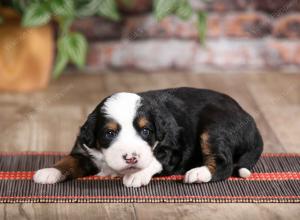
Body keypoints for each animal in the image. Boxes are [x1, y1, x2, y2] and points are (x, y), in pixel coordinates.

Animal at [33, 87, 262, 187]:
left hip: (215, 128)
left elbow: (154, 159)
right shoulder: (84, 149)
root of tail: (247, 115)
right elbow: (69, 160)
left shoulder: (173, 148)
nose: (131, 158)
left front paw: (136, 175)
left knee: (224, 163)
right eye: (109, 133)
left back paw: (198, 173)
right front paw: (49, 171)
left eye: (146, 132)